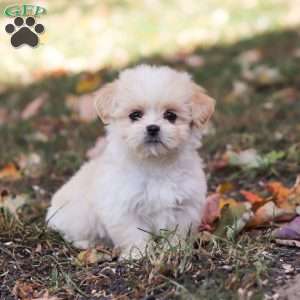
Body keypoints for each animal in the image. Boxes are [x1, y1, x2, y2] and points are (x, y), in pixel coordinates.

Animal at [46, 64, 216, 258]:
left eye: (170, 115)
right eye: (135, 115)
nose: (152, 128)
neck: (155, 163)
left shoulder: (185, 205)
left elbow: (178, 231)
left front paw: (175, 250)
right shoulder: (122, 207)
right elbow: (132, 233)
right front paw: (138, 254)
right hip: (77, 217)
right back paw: (87, 243)